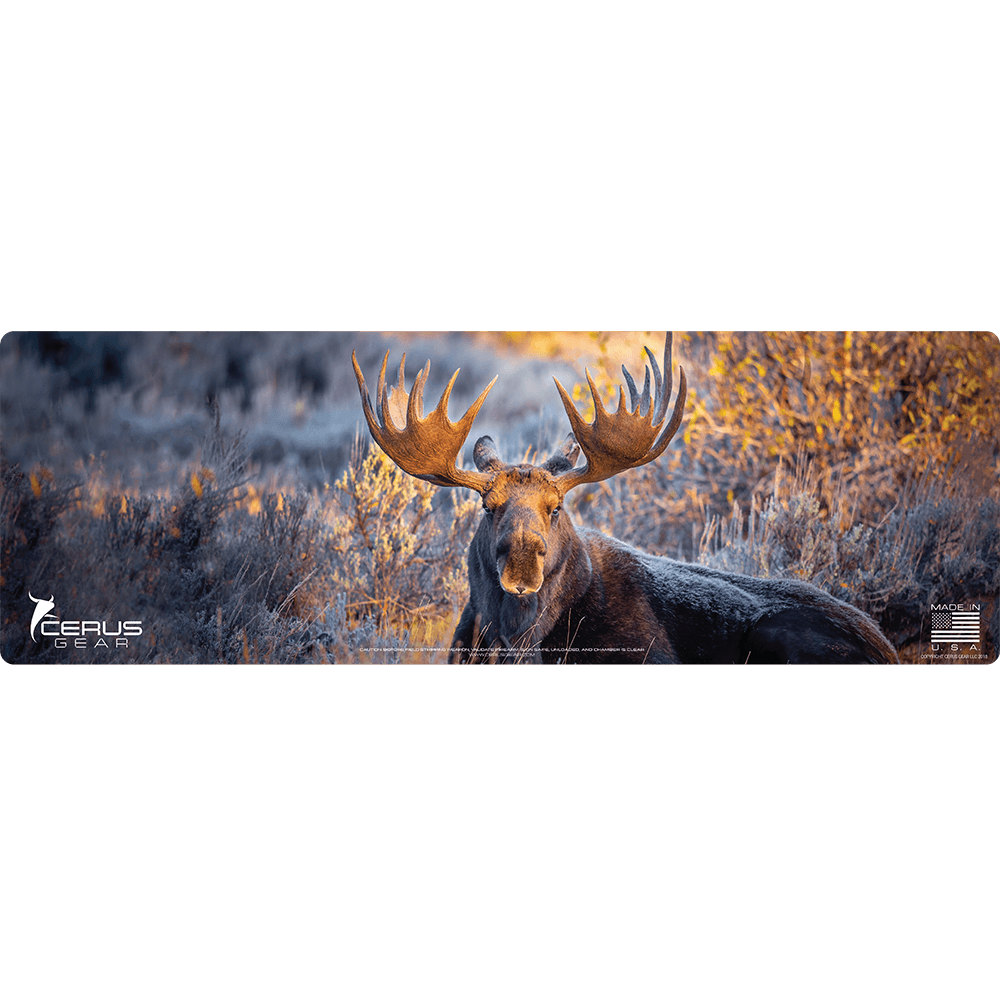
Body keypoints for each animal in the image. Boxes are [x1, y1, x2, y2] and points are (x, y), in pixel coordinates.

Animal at [351, 334, 899, 664]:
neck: (520, 639)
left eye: (556, 509)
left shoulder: (648, 654)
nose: (523, 566)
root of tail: (887, 649)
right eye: (488, 508)